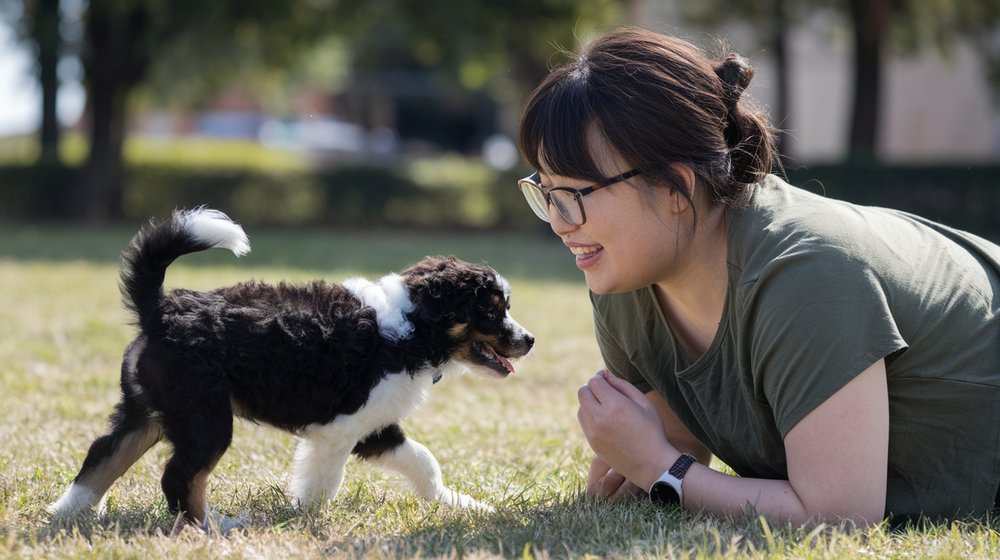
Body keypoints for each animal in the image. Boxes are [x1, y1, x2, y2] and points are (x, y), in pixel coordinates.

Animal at [50, 208, 536, 528]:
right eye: (491, 311)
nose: (529, 341)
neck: (414, 325)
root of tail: (161, 310)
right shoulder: (342, 427)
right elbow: (323, 483)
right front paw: (306, 520)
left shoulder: (374, 425)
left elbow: (423, 462)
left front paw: (460, 504)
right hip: (204, 418)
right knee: (180, 477)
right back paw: (214, 528)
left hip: (149, 410)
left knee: (103, 455)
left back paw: (68, 514)